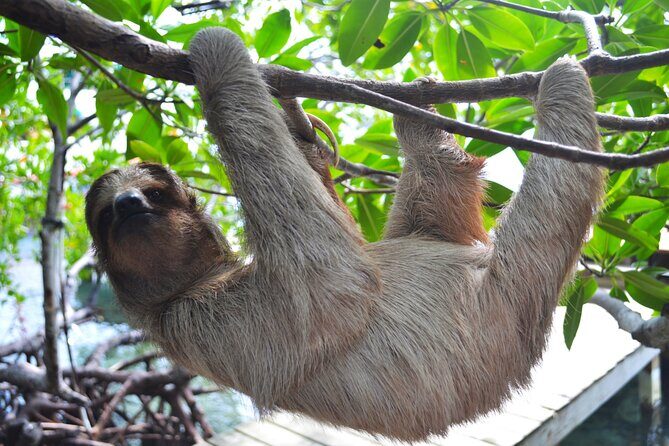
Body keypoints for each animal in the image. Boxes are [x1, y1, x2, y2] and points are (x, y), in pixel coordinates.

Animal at [85, 28, 604, 441]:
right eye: (106, 216)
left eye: (154, 193)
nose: (129, 205)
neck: (201, 279)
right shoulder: (199, 321)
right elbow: (330, 282)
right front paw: (218, 45)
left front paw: (302, 130)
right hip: (510, 297)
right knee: (548, 195)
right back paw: (562, 82)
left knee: (438, 206)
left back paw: (417, 113)